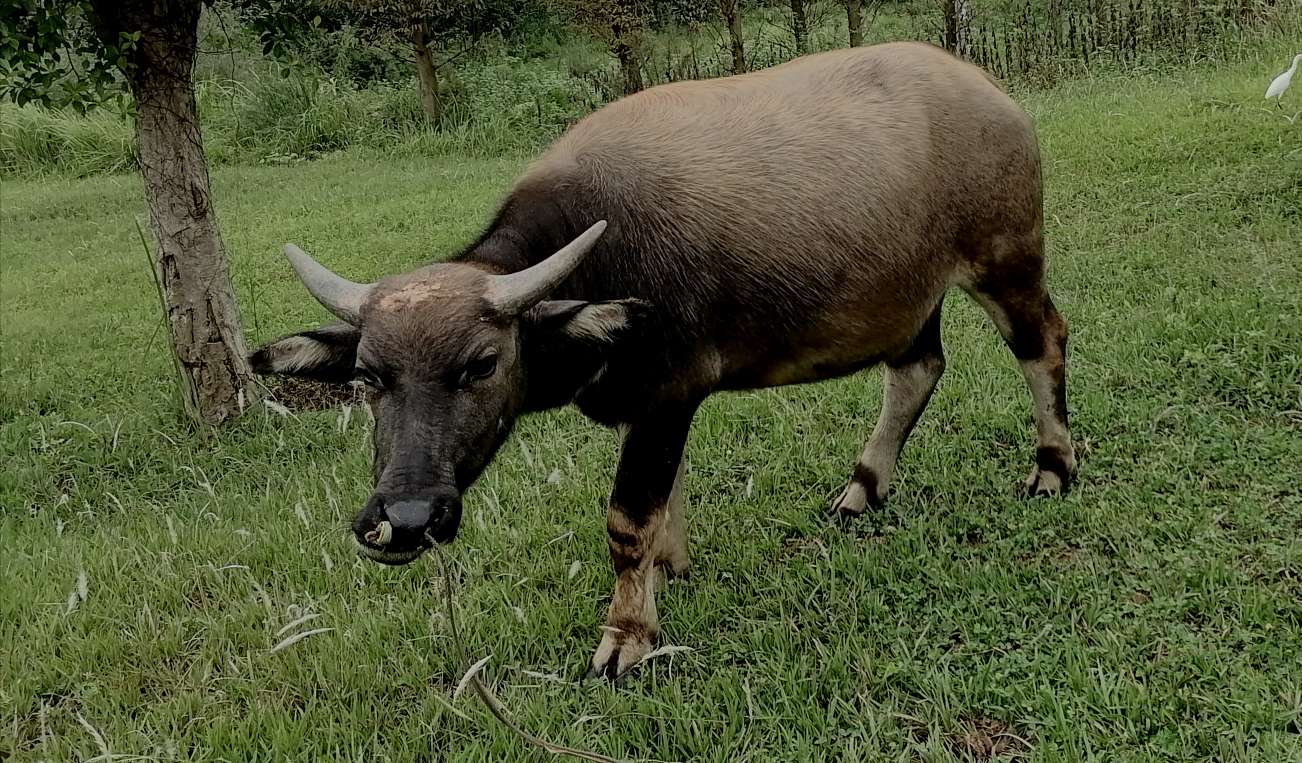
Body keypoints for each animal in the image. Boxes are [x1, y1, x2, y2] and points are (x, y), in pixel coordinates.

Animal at [251, 40, 1078, 677]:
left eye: (482, 363)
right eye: (368, 375)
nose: (407, 517)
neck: (596, 266)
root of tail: (989, 91)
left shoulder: (666, 393)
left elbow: (627, 517)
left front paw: (628, 637)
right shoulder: (646, 406)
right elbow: (663, 498)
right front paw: (668, 568)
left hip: (1007, 260)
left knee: (1043, 344)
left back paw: (1052, 466)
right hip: (908, 295)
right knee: (917, 369)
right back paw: (863, 487)